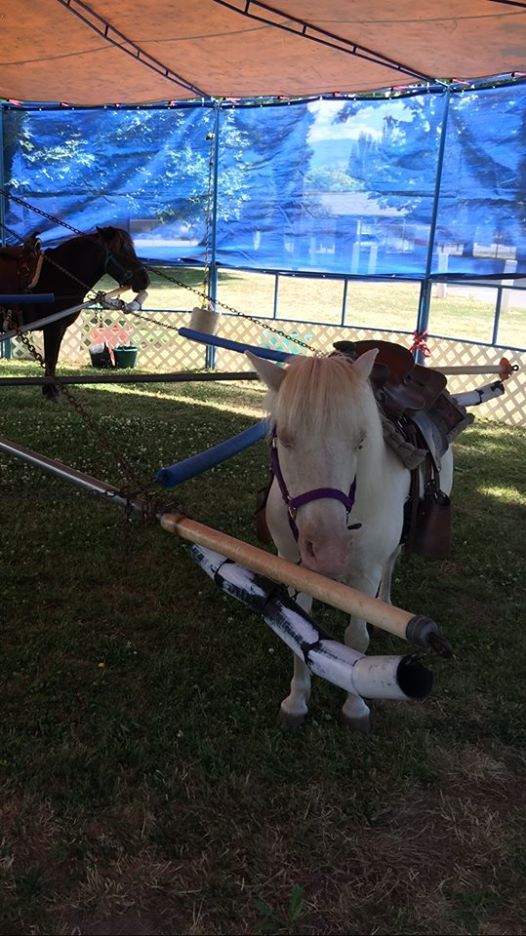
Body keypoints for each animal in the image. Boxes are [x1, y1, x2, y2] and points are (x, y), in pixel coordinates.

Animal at [0, 227, 149, 398]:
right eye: (120, 251)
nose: (145, 280)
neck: (58, 274)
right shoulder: (53, 327)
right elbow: (51, 358)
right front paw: (51, 392)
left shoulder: (60, 328)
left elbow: (53, 359)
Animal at [247, 348, 454, 733]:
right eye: (284, 438)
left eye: (360, 441)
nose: (329, 552)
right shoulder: (292, 565)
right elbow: (298, 630)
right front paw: (296, 701)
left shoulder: (365, 575)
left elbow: (357, 640)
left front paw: (355, 707)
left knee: (391, 565)